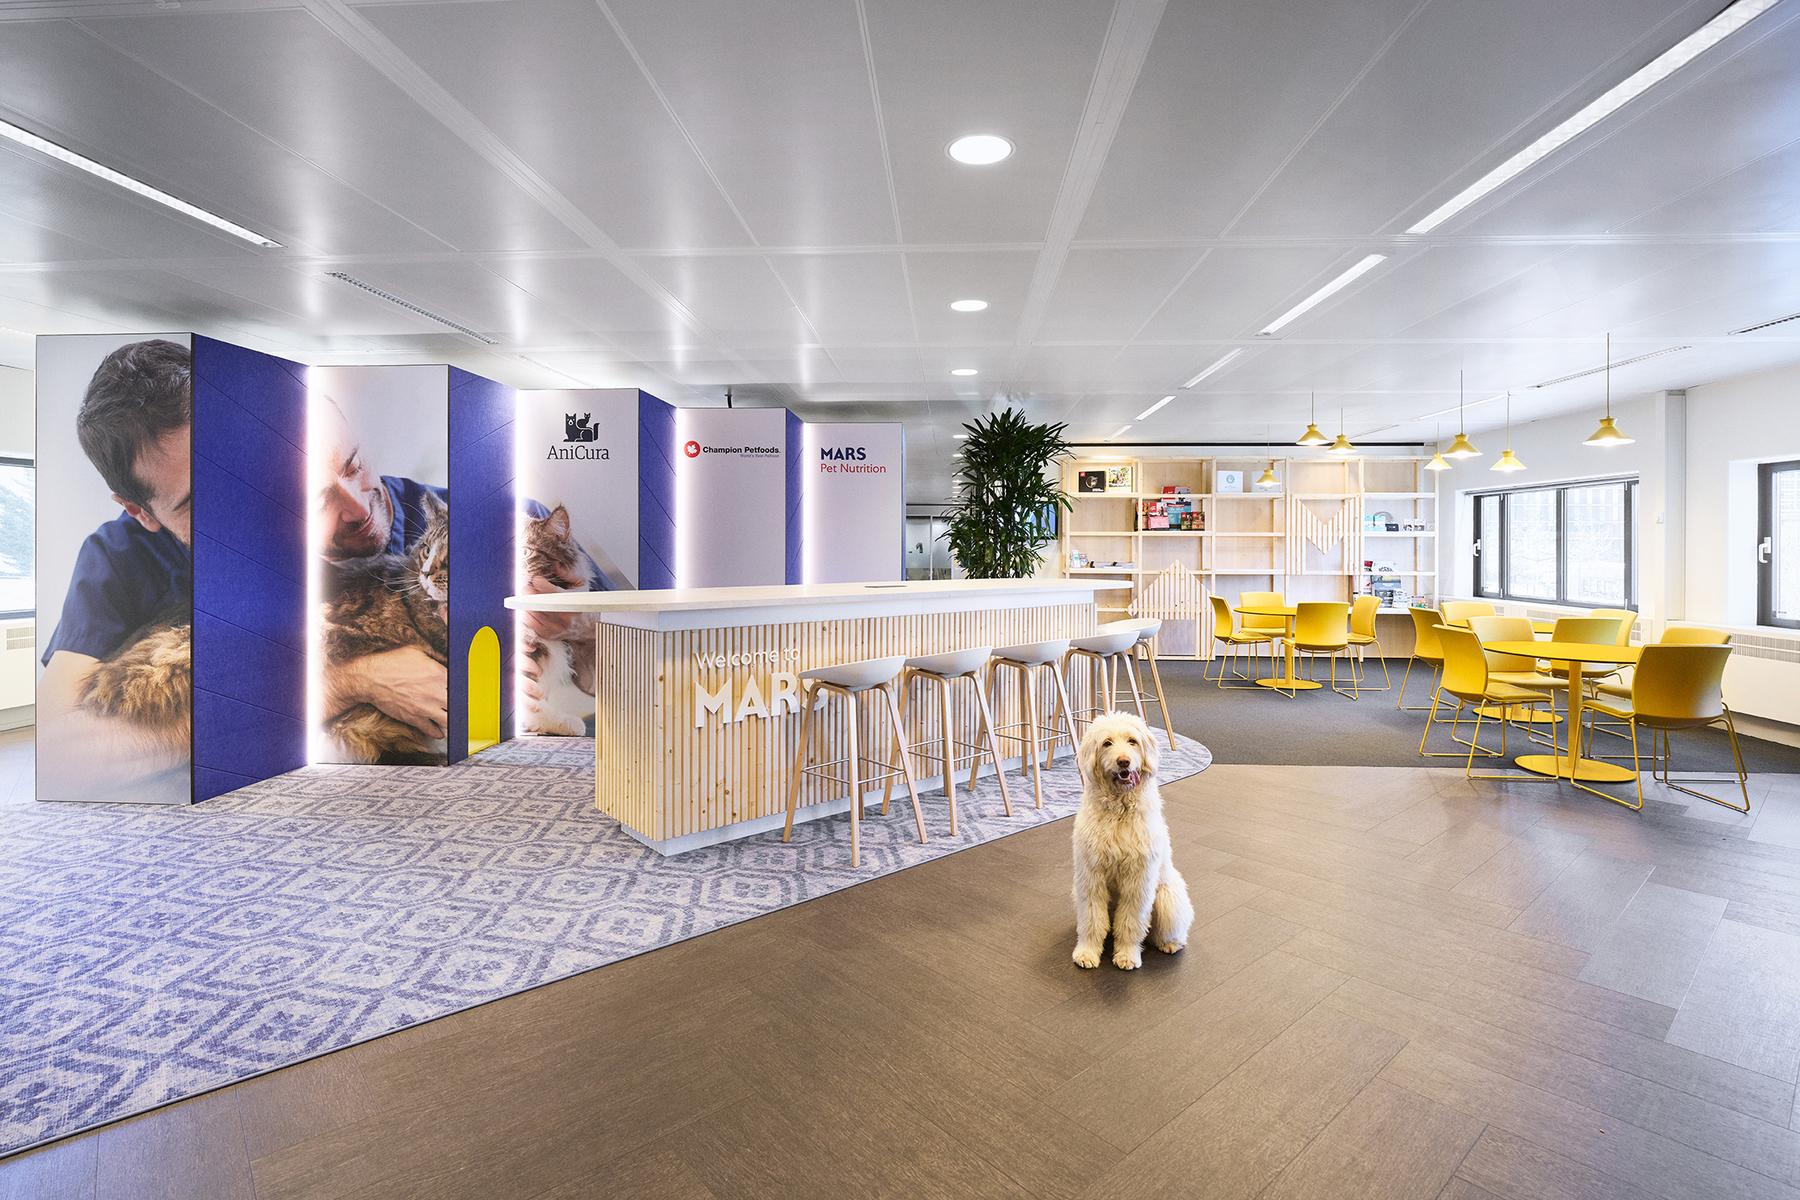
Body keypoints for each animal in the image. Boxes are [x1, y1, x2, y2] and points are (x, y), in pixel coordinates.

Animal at [1071, 711, 1195, 970]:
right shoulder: (1090, 876)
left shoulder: (1138, 880)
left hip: (1168, 898)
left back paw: (1170, 944)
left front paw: (1127, 955)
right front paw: (1087, 952)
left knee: (1166, 930)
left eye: (1132, 741)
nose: (1124, 761)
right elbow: (1092, 920)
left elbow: (1131, 922)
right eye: (1107, 743)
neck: (1119, 809)